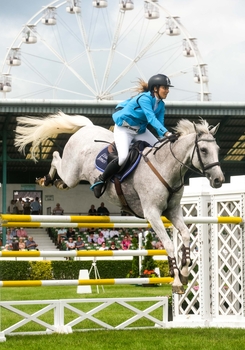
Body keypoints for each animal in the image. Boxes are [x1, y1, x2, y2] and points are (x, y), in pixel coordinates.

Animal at [14, 113, 224, 294]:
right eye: (203, 150)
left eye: (218, 150)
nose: (219, 180)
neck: (166, 167)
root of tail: (87, 127)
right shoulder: (152, 214)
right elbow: (168, 244)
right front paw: (177, 281)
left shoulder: (173, 211)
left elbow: (186, 235)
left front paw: (186, 271)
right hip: (72, 173)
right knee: (56, 157)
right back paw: (47, 179)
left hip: (72, 177)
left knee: (62, 174)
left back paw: (56, 183)